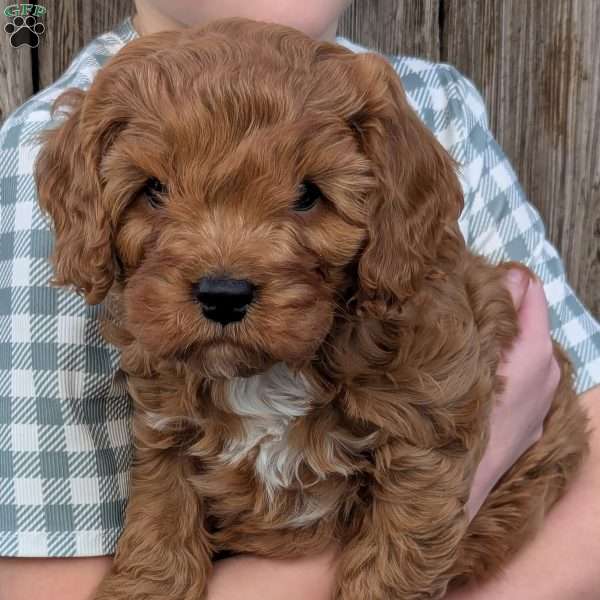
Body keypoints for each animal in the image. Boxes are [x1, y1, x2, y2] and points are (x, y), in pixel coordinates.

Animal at [34, 16, 592, 600]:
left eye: (308, 195)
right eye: (153, 189)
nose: (223, 294)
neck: (269, 374)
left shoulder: (426, 436)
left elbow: (394, 563)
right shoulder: (167, 435)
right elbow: (159, 537)